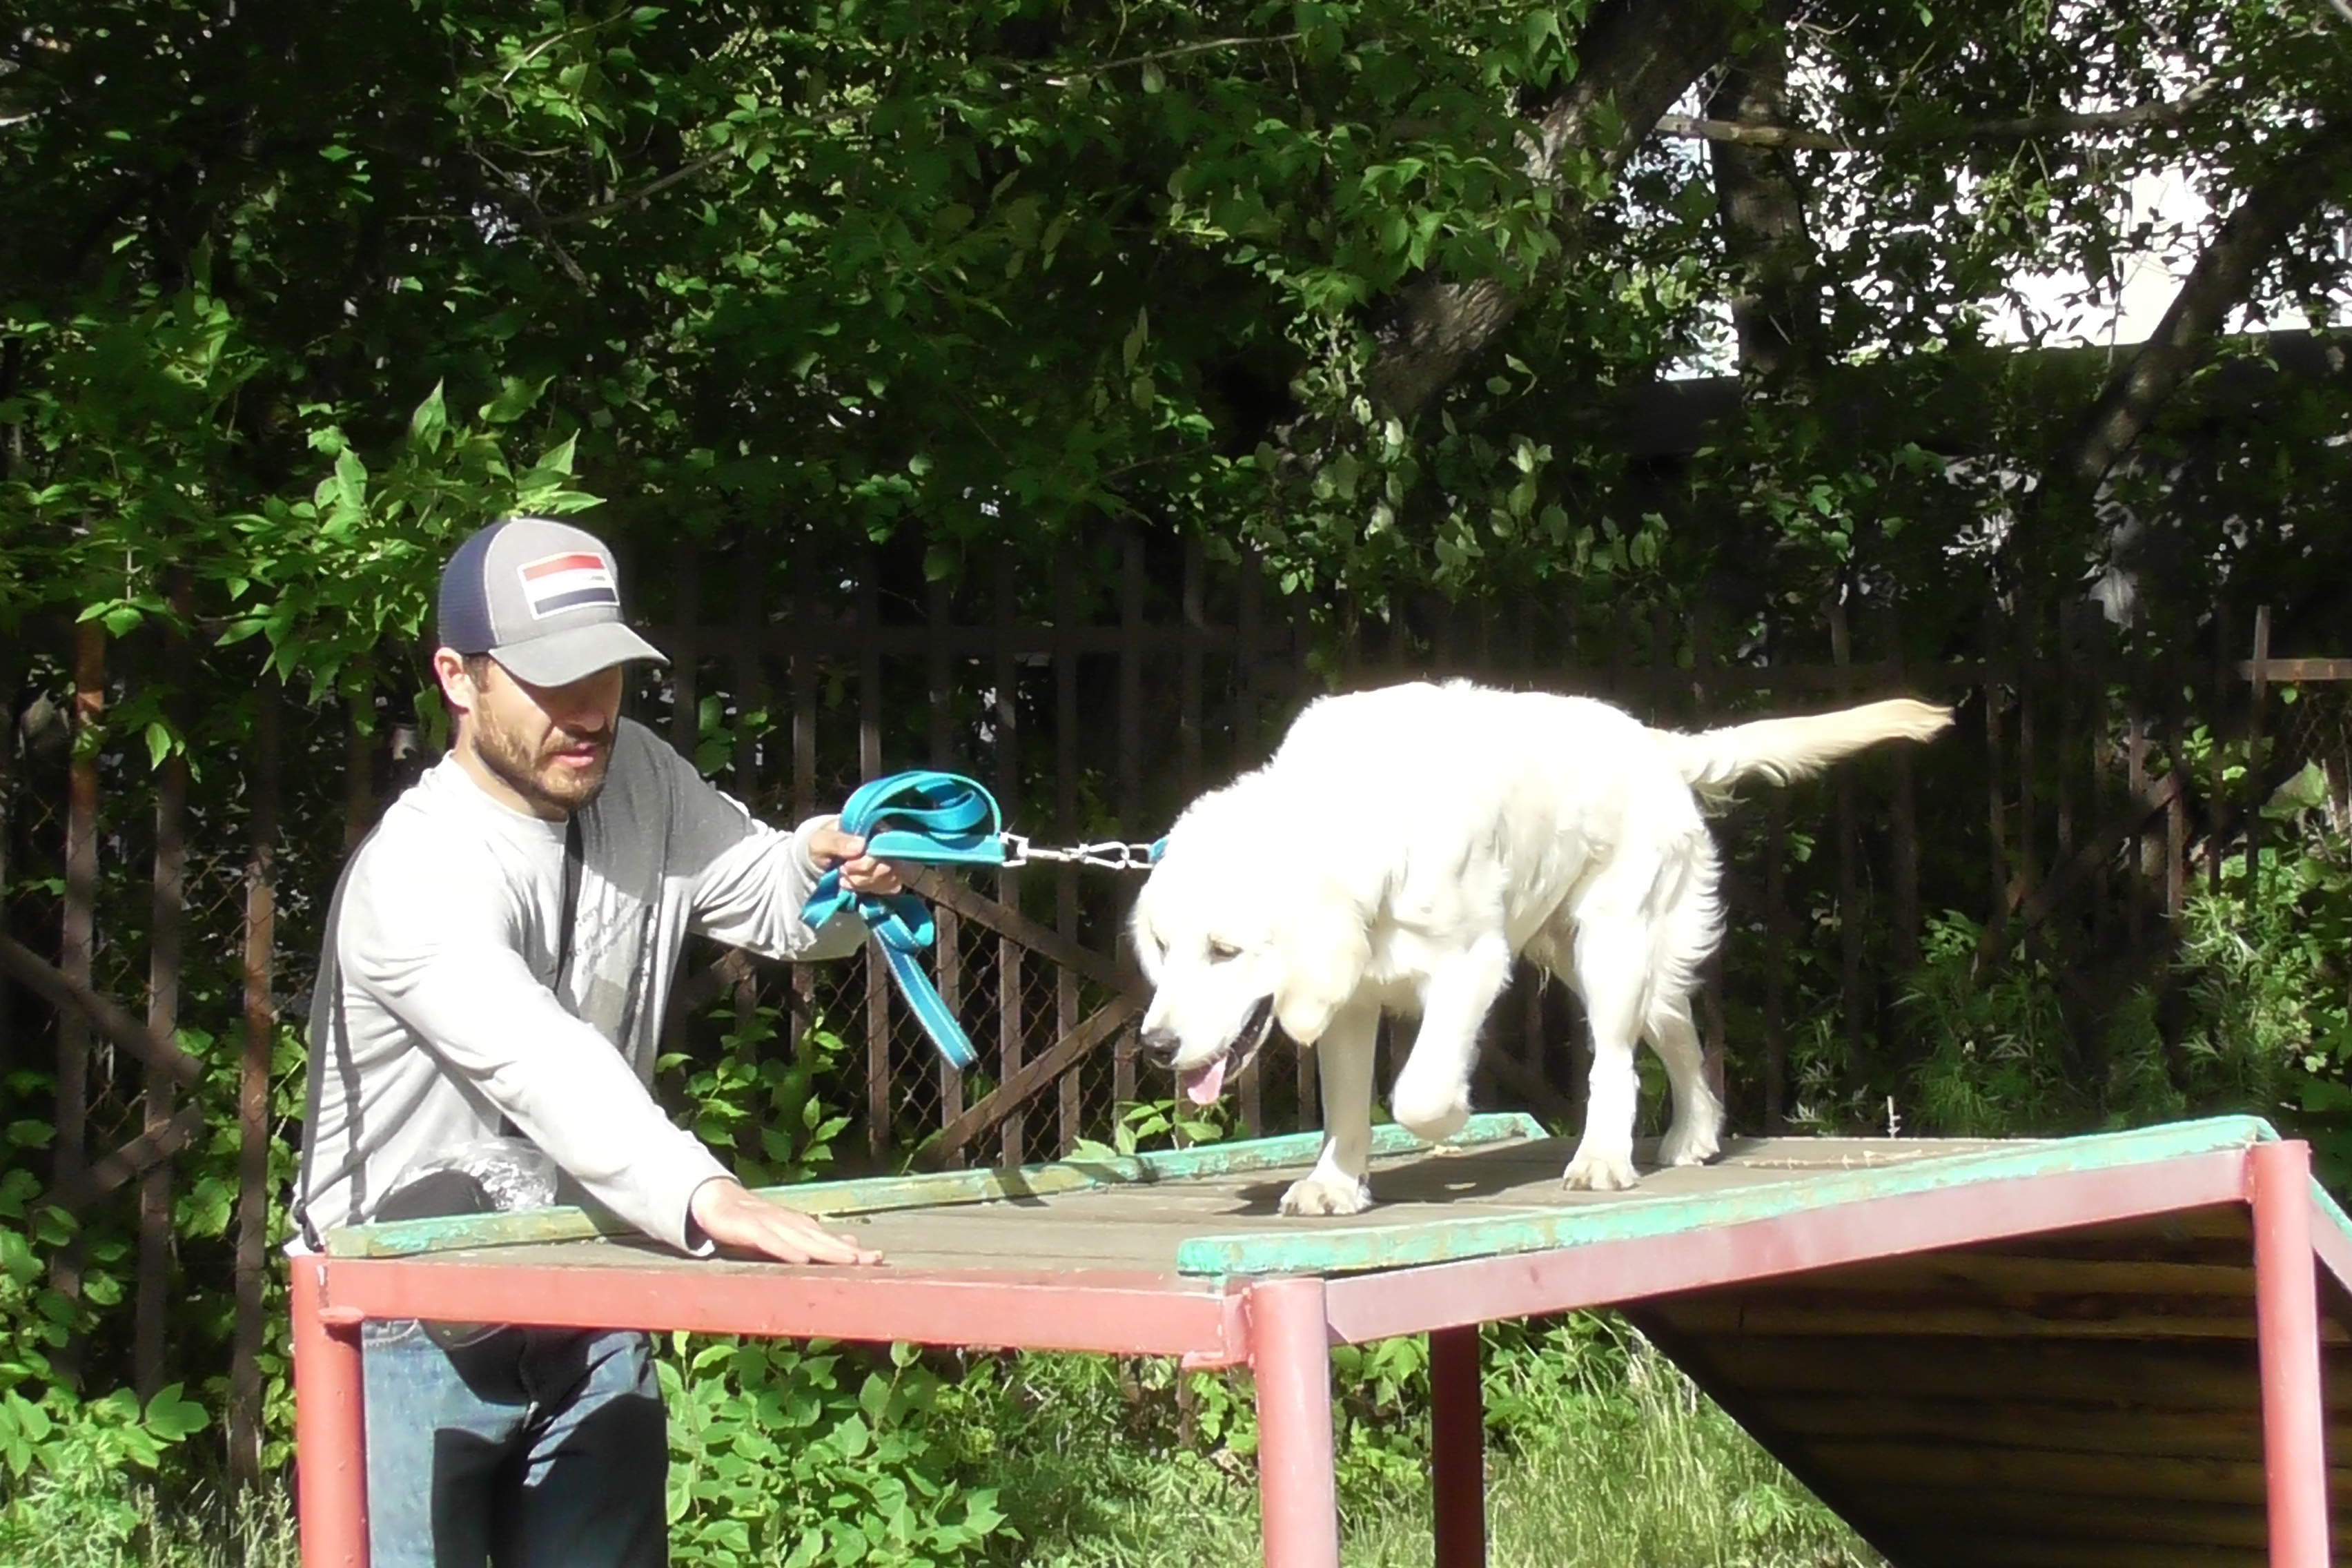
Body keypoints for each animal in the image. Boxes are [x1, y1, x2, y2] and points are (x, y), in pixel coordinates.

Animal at [1128, 679, 1952, 1216]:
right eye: (1163, 947)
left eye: (1225, 950)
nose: (1158, 1046)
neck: (1353, 809)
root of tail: (1655, 742)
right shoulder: (1348, 996)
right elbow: (1346, 1103)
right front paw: (1334, 1184)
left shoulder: (1471, 962)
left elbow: (1418, 1091)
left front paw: (1452, 1122)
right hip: (1599, 957)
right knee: (1679, 1031)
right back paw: (1692, 1135)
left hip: (1611, 943)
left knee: (1618, 1063)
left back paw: (1603, 1159)